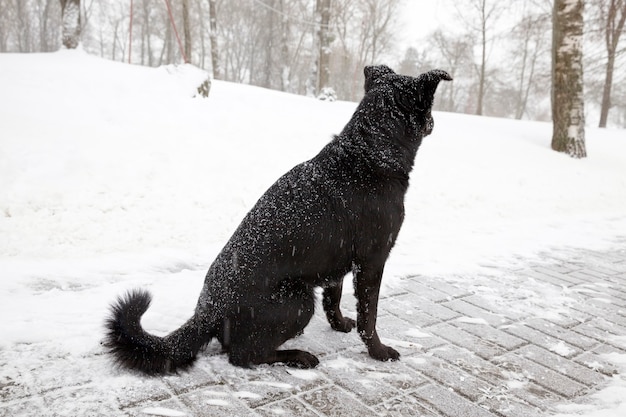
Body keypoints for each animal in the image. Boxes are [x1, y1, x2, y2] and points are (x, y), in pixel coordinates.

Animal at [106, 66, 448, 374]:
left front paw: (339, 325)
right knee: (243, 355)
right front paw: (379, 352)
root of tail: (208, 312)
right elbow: (369, 316)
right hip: (298, 301)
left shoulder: (337, 261)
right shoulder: (372, 262)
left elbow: (334, 298)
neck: (369, 152)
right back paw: (298, 357)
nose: (434, 123)